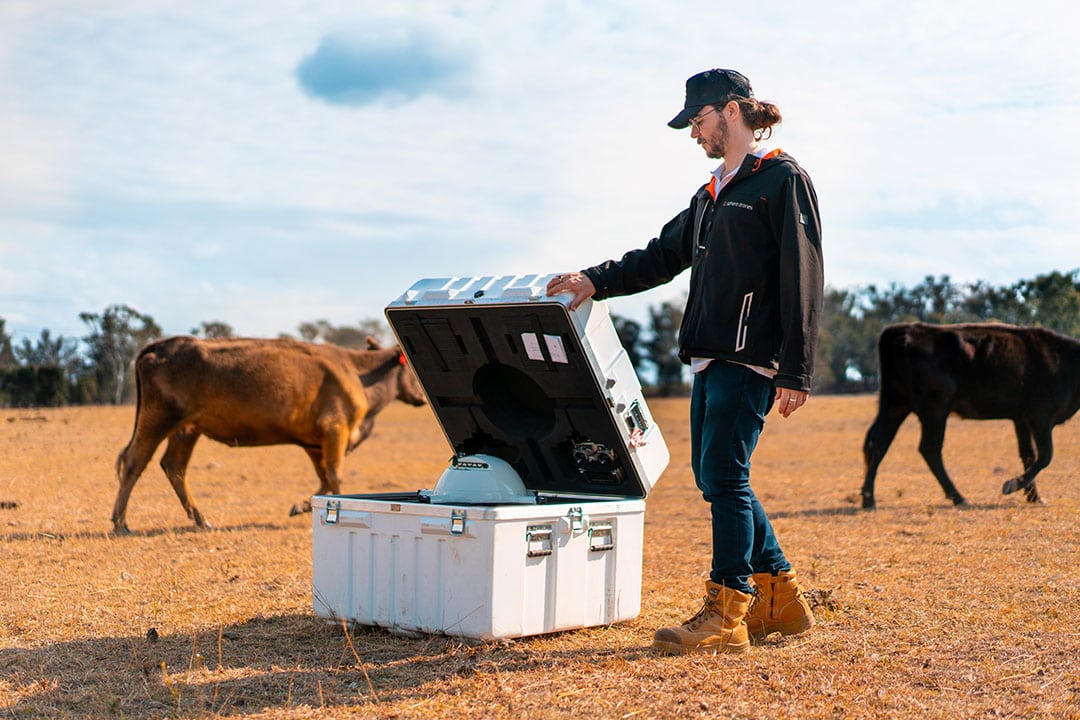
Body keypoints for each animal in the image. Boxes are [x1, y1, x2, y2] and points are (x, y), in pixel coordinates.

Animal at [111, 334, 425, 533]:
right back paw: (121, 523)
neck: (358, 372)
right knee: (134, 461)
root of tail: (160, 345)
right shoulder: (335, 431)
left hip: (186, 430)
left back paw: (202, 521)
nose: (423, 398)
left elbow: (324, 479)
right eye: (412, 367)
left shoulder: (314, 444)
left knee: (174, 467)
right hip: (158, 420)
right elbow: (335, 477)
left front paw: (300, 506)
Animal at [859, 323, 1080, 509]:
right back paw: (960, 498)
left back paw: (869, 499)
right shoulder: (1040, 418)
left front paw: (1035, 497)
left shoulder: (1021, 419)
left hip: (895, 405)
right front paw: (1011, 485)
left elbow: (1028, 454)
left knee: (879, 443)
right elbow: (1045, 455)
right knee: (929, 449)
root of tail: (902, 330)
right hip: (935, 411)